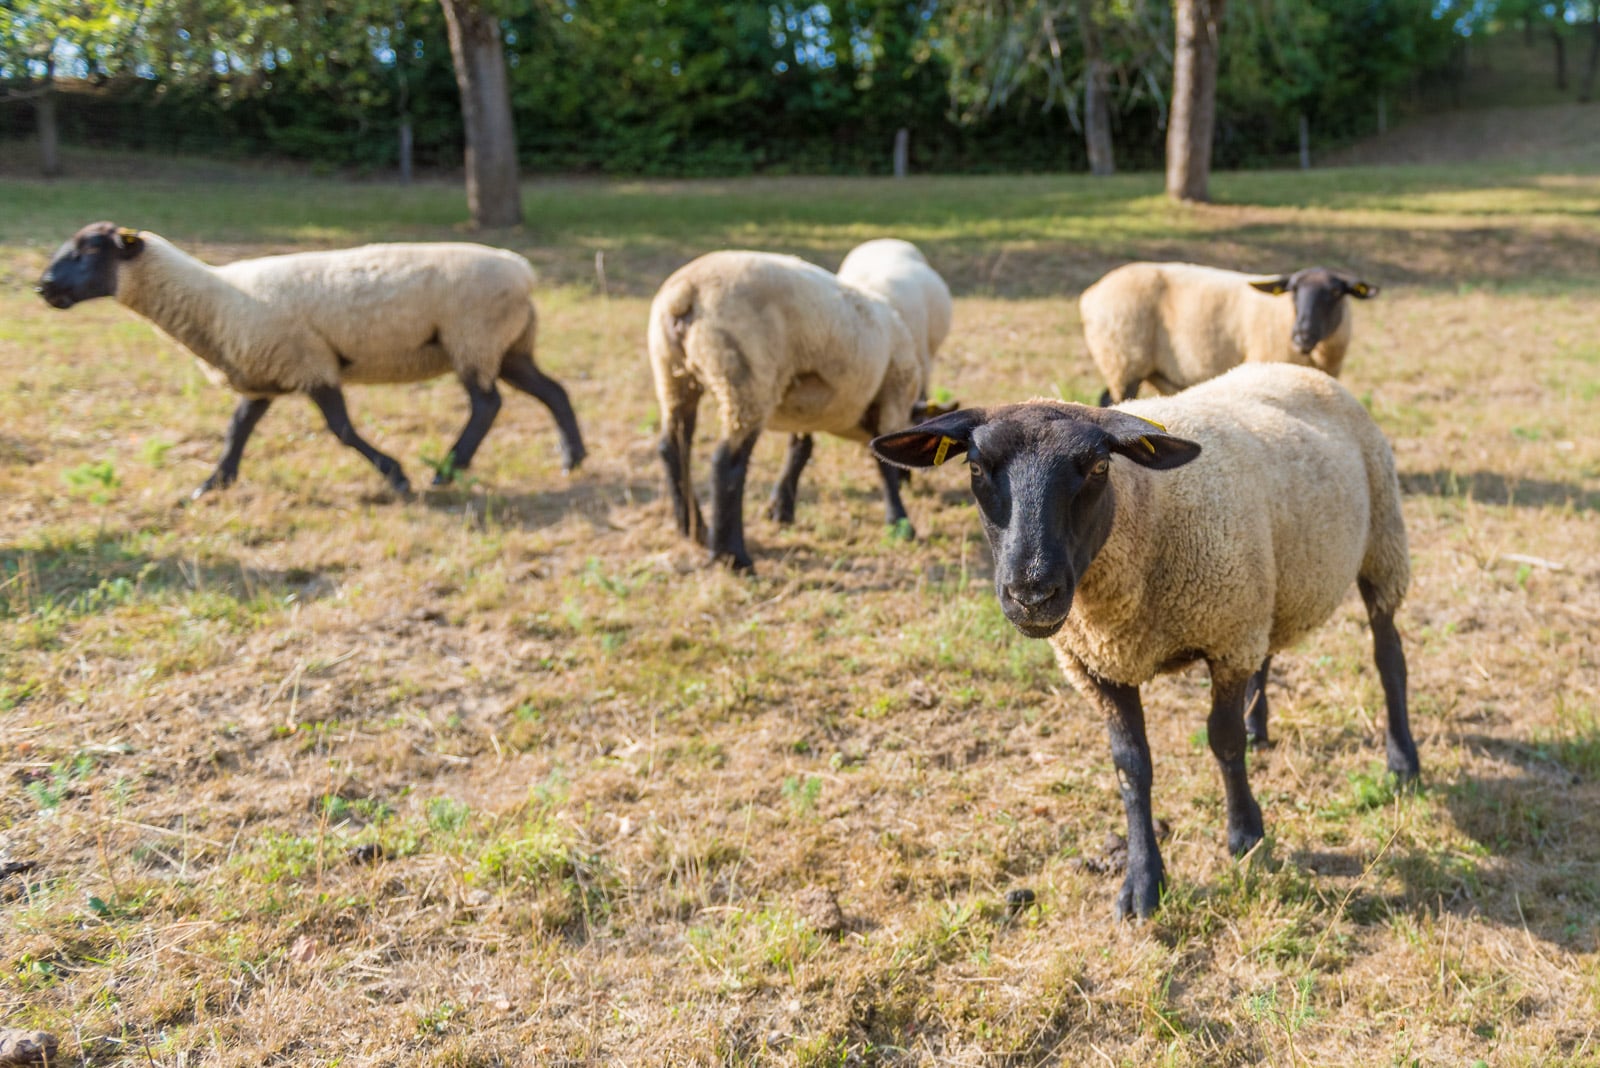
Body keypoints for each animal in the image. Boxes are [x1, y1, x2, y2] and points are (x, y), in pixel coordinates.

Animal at [37, 223, 585, 498]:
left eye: (87, 252)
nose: (42, 288)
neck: (214, 301)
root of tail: (522, 269)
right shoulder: (263, 373)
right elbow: (237, 430)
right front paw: (212, 484)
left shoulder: (309, 363)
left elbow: (341, 430)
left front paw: (396, 476)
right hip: (508, 345)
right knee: (553, 391)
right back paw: (572, 458)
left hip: (473, 338)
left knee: (487, 405)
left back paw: (447, 470)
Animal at [649, 251, 928, 572]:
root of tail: (687, 291)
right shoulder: (893, 394)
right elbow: (884, 467)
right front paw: (900, 522)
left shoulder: (806, 407)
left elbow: (800, 450)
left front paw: (781, 510)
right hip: (747, 379)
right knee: (727, 462)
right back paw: (732, 556)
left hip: (673, 374)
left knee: (673, 447)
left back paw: (693, 529)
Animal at [870, 362, 1420, 920]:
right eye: (977, 468)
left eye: (1098, 468)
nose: (1032, 593)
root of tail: (1291, 366)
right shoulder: (1100, 665)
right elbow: (1131, 768)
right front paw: (1142, 882)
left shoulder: (1225, 638)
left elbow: (1223, 743)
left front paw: (1245, 834)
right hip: (1270, 587)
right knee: (1267, 654)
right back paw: (1259, 725)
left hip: (1381, 545)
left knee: (1388, 657)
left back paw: (1402, 761)